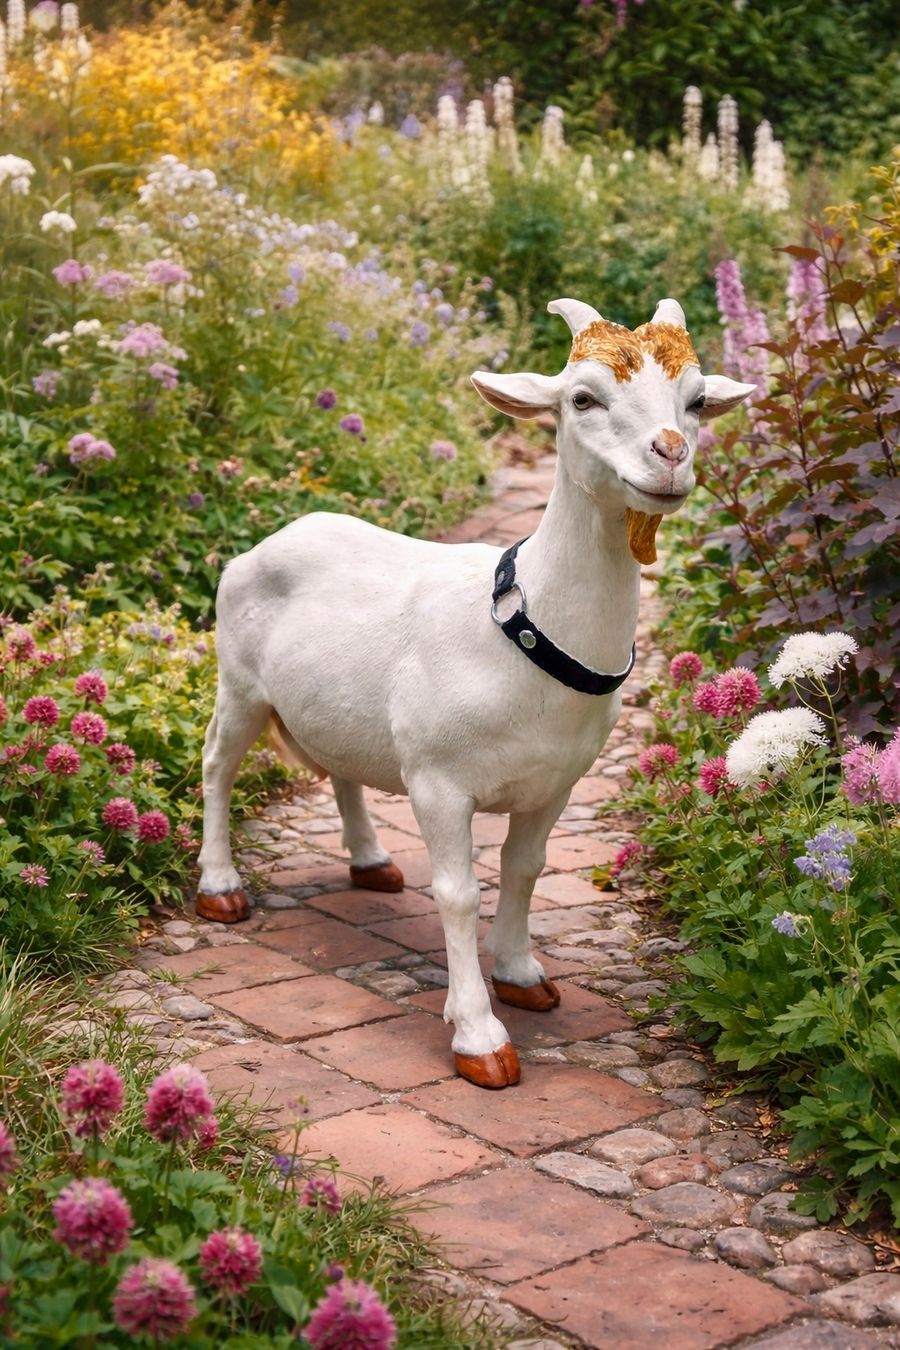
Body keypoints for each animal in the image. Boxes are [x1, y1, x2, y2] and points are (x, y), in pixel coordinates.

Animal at [196, 296, 753, 1088]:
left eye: (698, 400)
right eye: (582, 399)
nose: (671, 456)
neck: (524, 630)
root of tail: (264, 544)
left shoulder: (557, 782)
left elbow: (524, 871)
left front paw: (523, 976)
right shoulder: (438, 780)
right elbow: (458, 893)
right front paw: (480, 1038)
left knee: (340, 767)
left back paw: (371, 861)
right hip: (239, 683)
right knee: (217, 763)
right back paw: (220, 888)